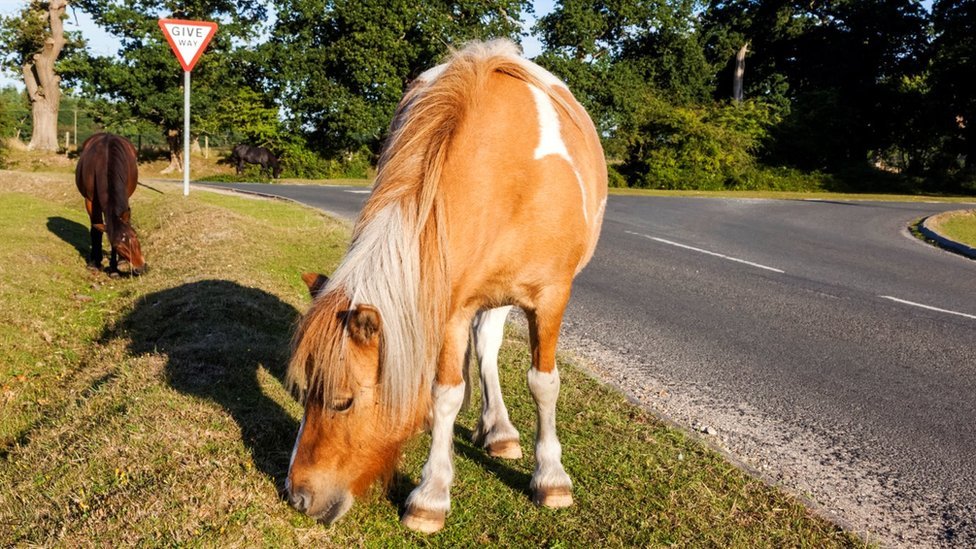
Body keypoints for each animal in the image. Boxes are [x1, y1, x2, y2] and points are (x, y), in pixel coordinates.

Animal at [75, 133, 145, 274]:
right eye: (117, 245)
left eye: (135, 236)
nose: (140, 268)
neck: (106, 161)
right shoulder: (90, 201)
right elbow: (96, 231)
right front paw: (95, 262)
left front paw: (114, 268)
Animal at [284, 40, 604, 532]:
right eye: (303, 393)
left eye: (343, 402)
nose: (297, 496)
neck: (509, 171)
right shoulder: (451, 305)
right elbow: (445, 393)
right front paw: (431, 495)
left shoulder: (550, 298)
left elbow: (544, 383)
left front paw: (551, 477)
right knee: (483, 348)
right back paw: (494, 428)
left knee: (491, 344)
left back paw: (502, 434)